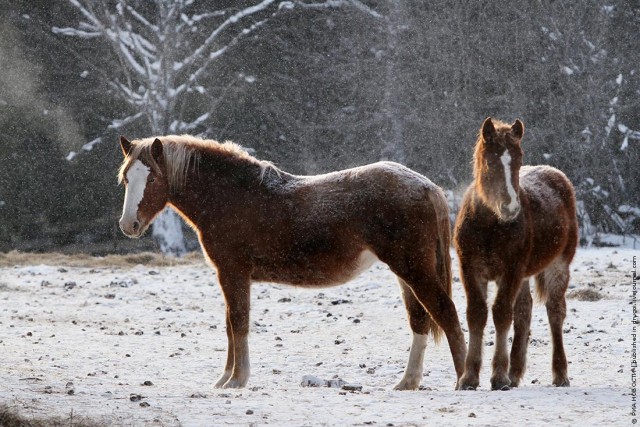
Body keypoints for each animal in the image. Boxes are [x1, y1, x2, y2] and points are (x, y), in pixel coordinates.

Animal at [116, 135, 464, 392]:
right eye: (126, 179)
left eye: (153, 177)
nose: (128, 225)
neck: (231, 197)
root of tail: (427, 187)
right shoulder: (228, 275)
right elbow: (230, 324)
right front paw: (224, 379)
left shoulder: (233, 273)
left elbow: (238, 322)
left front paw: (237, 380)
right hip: (406, 272)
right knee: (420, 320)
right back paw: (408, 382)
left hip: (413, 269)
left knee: (445, 312)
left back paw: (465, 380)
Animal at [452, 117, 576, 392]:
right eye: (490, 161)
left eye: (518, 160)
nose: (510, 208)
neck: (489, 226)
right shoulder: (470, 269)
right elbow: (477, 313)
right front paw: (469, 377)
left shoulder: (510, 271)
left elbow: (501, 314)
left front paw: (498, 376)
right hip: (524, 274)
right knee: (524, 311)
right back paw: (515, 372)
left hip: (558, 266)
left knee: (554, 312)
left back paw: (560, 374)